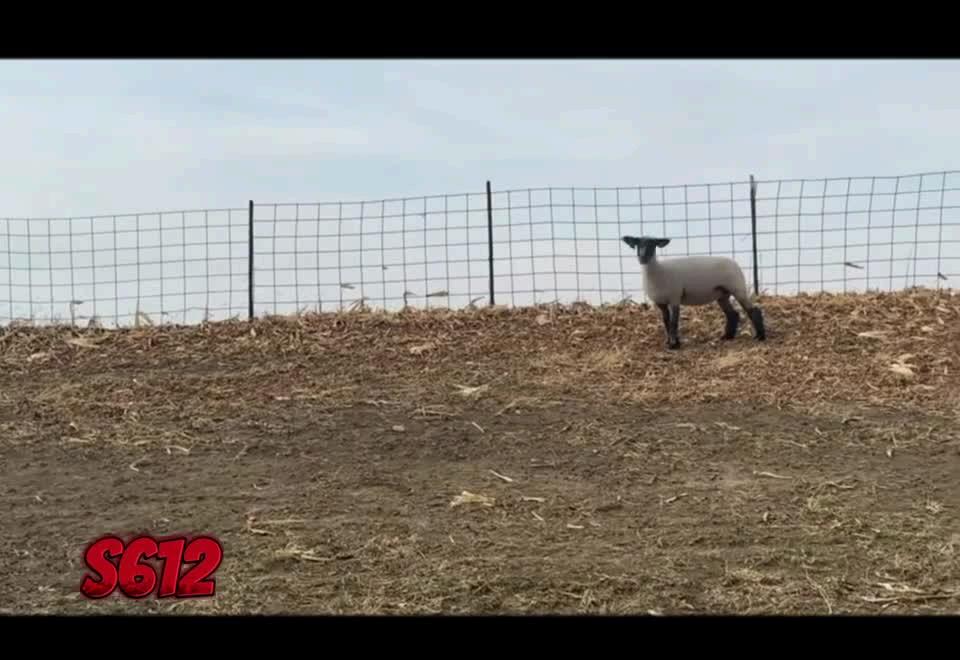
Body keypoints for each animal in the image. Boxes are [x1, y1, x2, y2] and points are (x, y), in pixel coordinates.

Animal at [622, 235, 766, 349]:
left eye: (652, 245)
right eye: (637, 245)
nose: (642, 258)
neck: (658, 271)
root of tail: (735, 263)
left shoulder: (675, 297)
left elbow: (674, 322)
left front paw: (675, 345)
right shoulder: (661, 303)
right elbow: (666, 322)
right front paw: (669, 342)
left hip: (737, 287)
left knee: (753, 310)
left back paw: (760, 336)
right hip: (722, 294)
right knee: (733, 314)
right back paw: (727, 336)